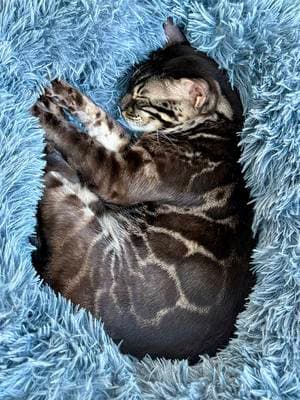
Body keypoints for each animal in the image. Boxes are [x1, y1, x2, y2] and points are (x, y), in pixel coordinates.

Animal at [31, 18, 255, 362]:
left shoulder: (121, 174)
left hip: (70, 201)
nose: (121, 104)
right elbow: (102, 121)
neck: (223, 125)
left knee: (56, 169)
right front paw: (70, 96)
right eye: (129, 86)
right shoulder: (128, 149)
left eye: (143, 97)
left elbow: (80, 140)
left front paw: (48, 114)